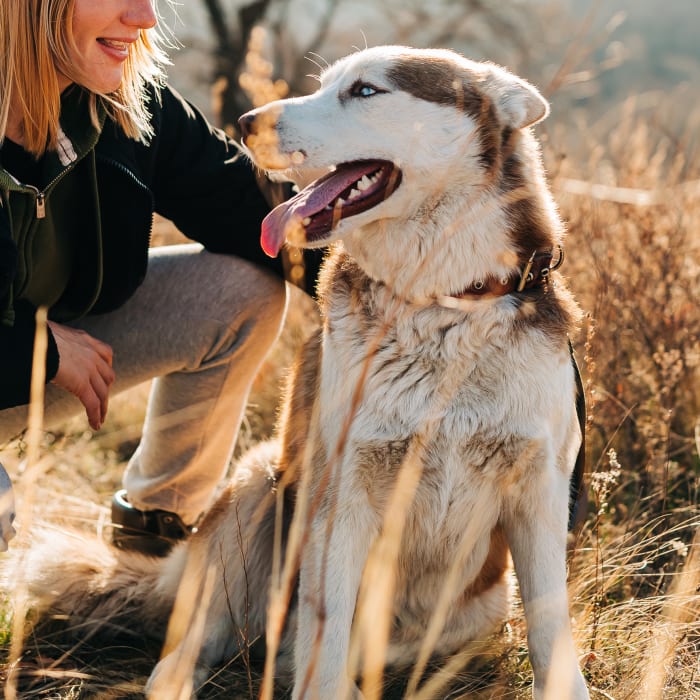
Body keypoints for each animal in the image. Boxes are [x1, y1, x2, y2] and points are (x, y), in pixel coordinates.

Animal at [21, 46, 588, 696]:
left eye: (365, 91)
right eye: (326, 84)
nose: (246, 123)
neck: (442, 305)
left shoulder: (540, 492)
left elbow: (550, 627)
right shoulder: (340, 487)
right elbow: (328, 626)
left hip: (480, 606)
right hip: (257, 483)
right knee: (198, 645)